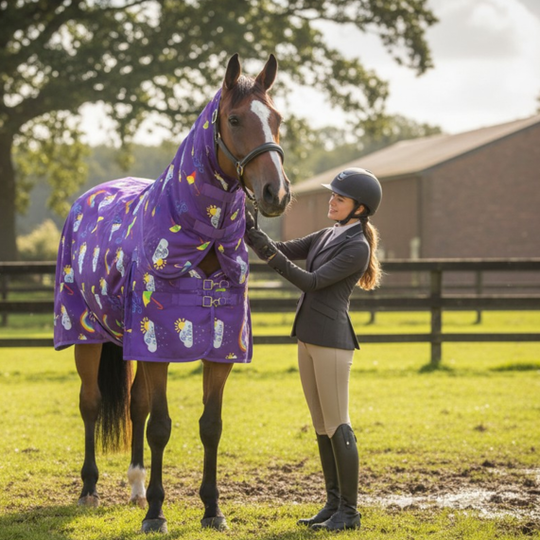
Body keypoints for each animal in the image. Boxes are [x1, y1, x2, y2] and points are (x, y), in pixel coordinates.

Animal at [53, 53, 290, 534]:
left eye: (276, 119)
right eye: (234, 119)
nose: (276, 193)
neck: (201, 242)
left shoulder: (220, 350)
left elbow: (209, 425)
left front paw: (212, 509)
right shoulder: (157, 346)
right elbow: (161, 427)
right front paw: (157, 515)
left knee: (135, 406)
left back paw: (136, 487)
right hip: (86, 335)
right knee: (91, 404)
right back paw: (89, 490)